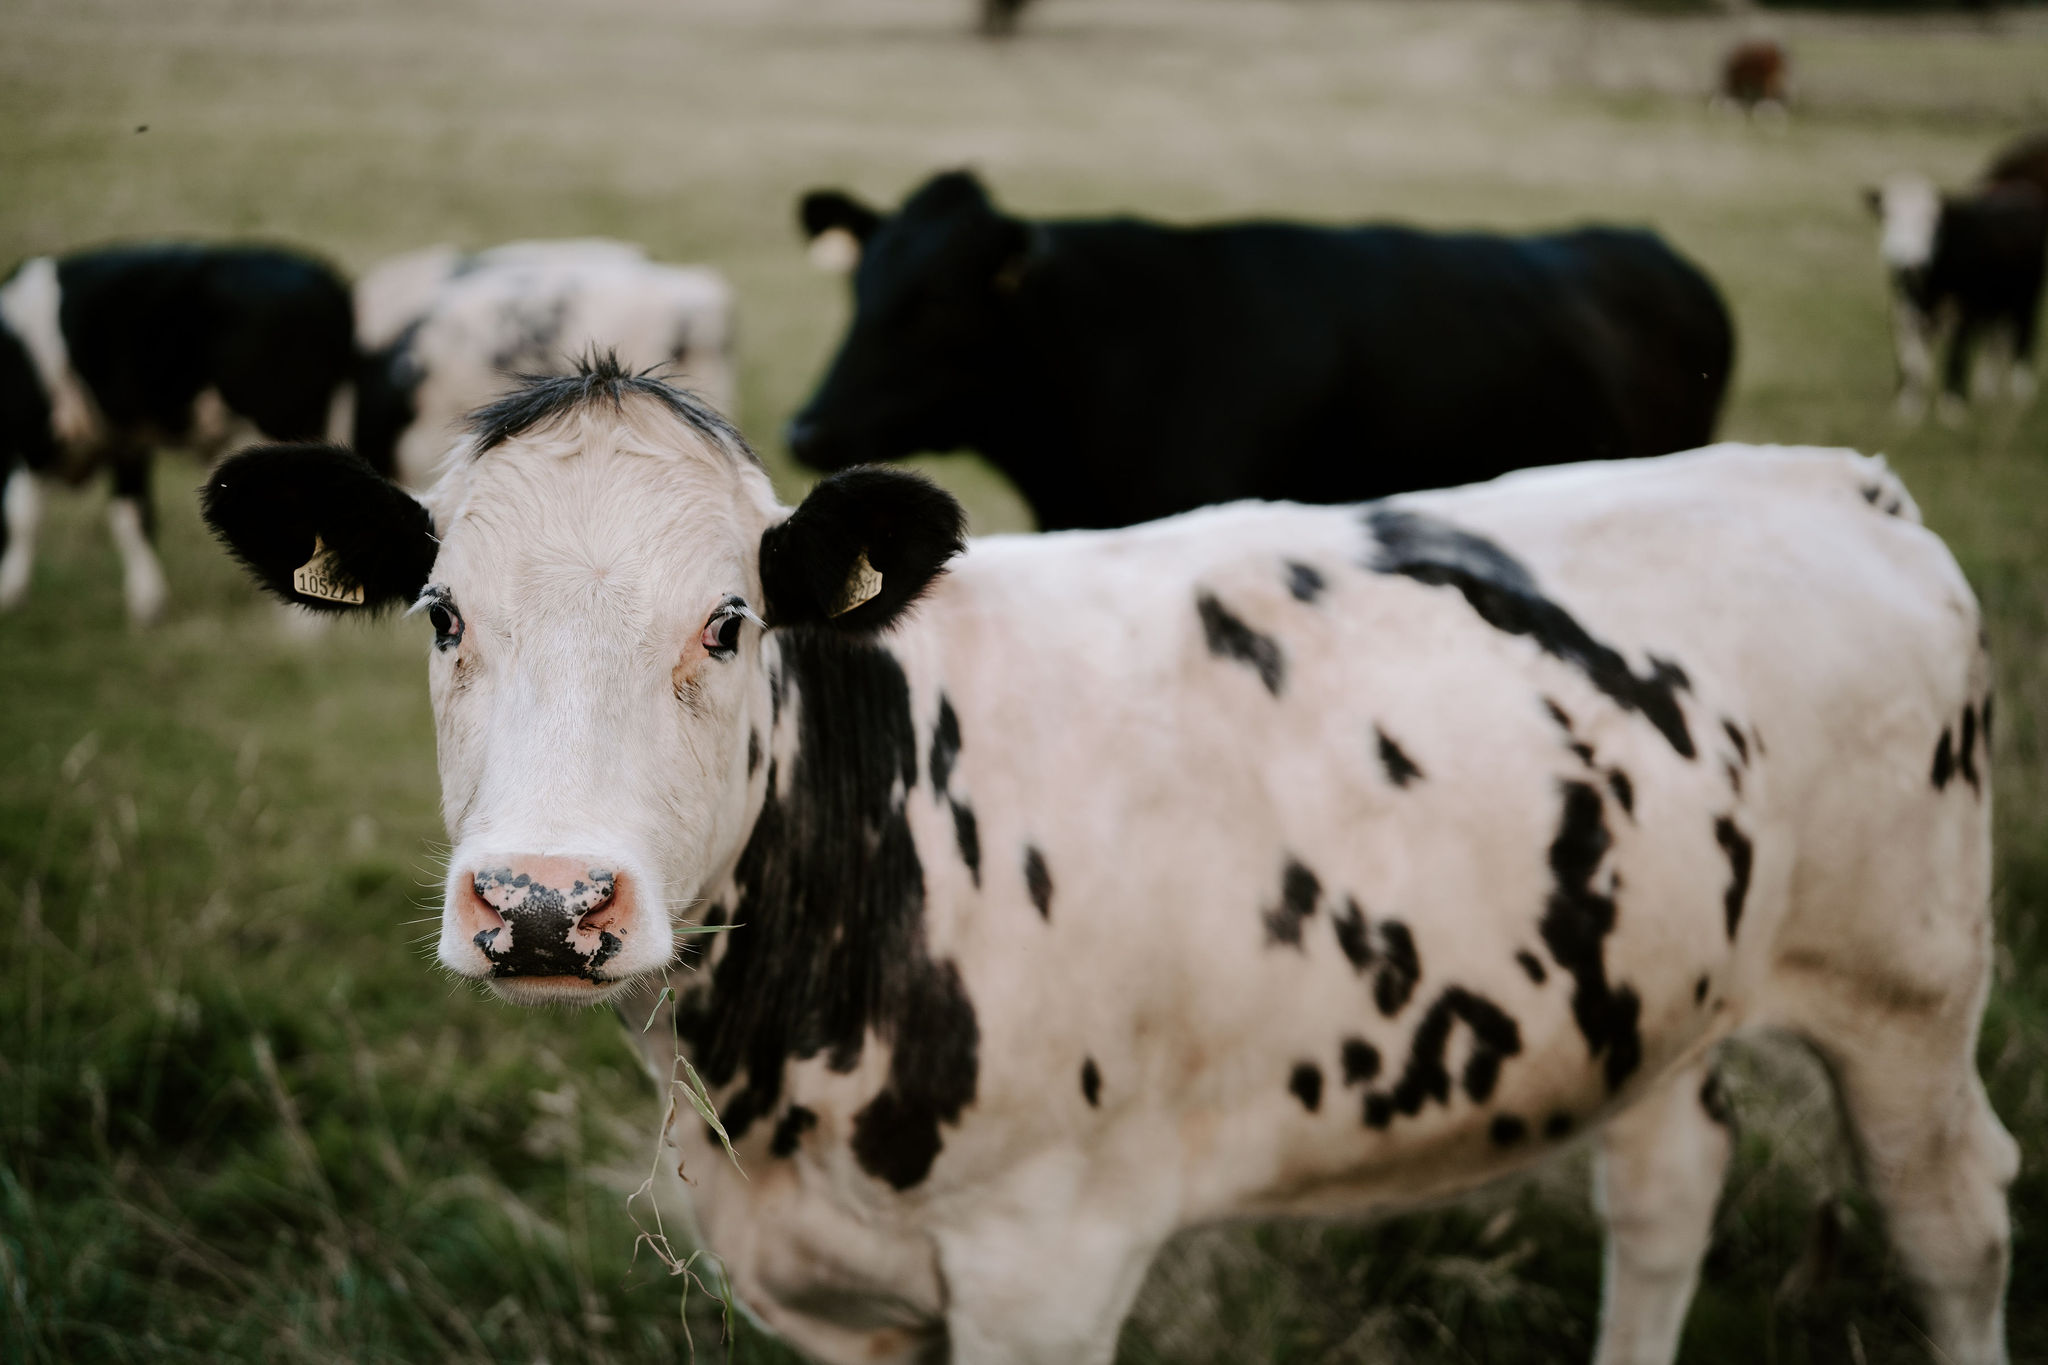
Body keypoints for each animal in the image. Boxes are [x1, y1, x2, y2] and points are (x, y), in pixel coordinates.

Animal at [1, 244, 352, 626]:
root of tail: (323, 279)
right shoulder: (126, 442)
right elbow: (132, 517)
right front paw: (148, 603)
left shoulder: (32, 436)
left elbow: (22, 514)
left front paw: (10, 594)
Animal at [207, 356, 2015, 1365]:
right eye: (444, 615)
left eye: (726, 621)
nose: (541, 904)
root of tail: (1826, 475)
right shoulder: (839, 1289)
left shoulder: (1045, 1267)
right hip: (1650, 990)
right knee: (1663, 1193)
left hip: (1905, 988)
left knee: (1953, 1225)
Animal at [1875, 133, 2048, 421]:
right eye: (1886, 216)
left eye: (1933, 220)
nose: (1907, 261)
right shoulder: (1905, 313)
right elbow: (1913, 361)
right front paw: (1909, 407)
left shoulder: (1962, 311)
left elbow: (1955, 356)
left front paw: (1952, 408)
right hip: (1997, 304)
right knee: (1995, 342)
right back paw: (1987, 392)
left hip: (2026, 299)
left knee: (2023, 339)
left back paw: (2020, 394)